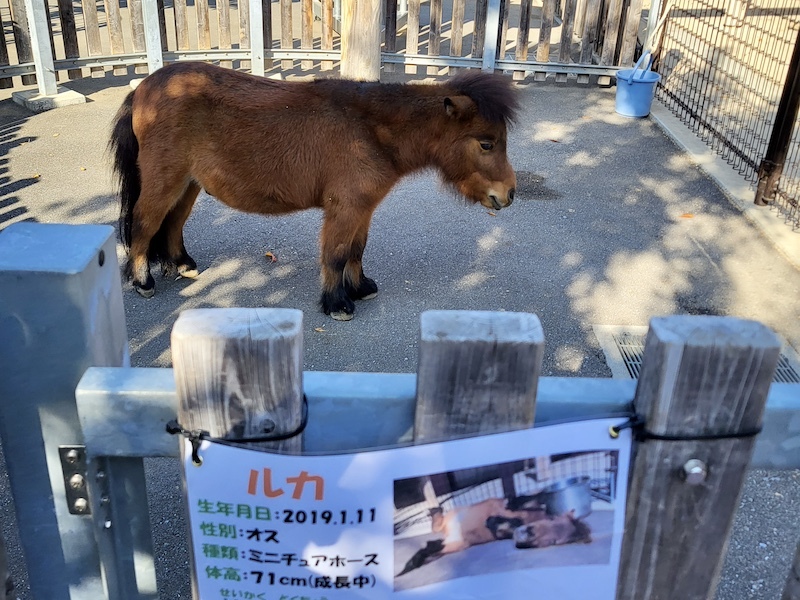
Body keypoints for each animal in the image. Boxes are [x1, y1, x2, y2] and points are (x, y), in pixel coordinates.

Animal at [109, 63, 520, 322]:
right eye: (486, 144)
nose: (509, 194)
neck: (371, 129)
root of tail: (144, 87)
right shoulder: (344, 209)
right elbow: (336, 255)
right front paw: (337, 303)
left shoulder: (363, 208)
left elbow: (356, 250)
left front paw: (360, 288)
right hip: (165, 181)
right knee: (145, 224)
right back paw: (142, 280)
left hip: (188, 184)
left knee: (173, 223)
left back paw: (182, 264)